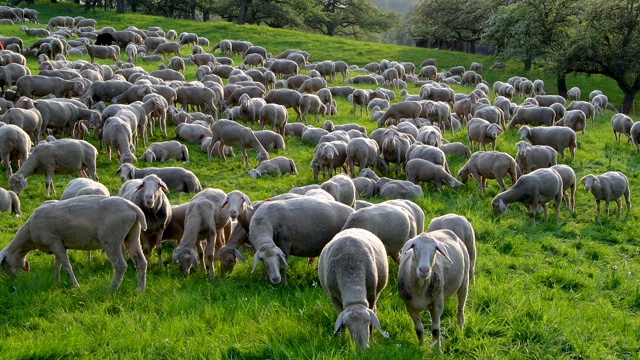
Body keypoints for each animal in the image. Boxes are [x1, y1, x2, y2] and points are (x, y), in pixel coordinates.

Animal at [0, 194, 148, 292]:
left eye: (4, 264)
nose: (8, 282)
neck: (29, 233)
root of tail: (133, 208)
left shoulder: (54, 242)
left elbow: (66, 265)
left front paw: (75, 285)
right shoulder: (58, 244)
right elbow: (57, 265)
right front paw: (56, 283)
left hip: (112, 238)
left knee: (120, 266)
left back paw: (111, 289)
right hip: (132, 235)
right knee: (141, 262)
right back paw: (140, 290)